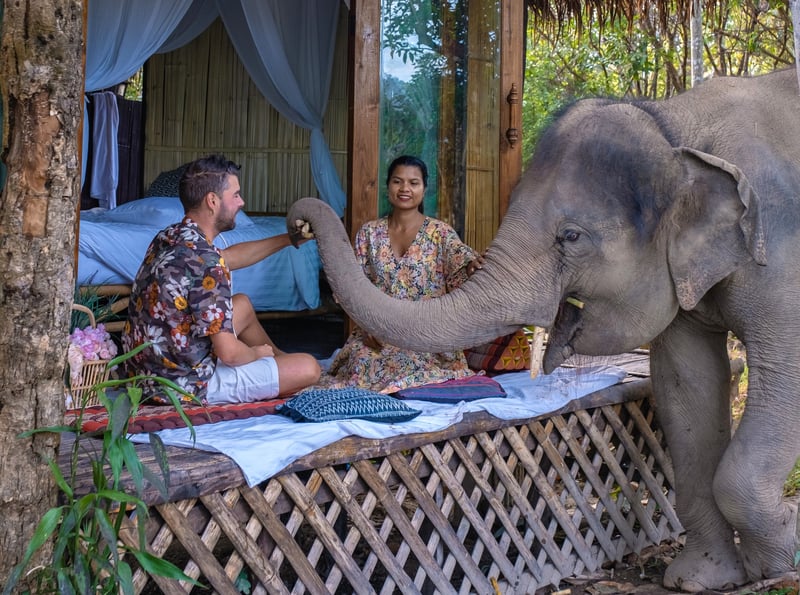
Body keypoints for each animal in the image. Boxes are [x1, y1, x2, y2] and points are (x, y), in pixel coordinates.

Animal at [287, 66, 800, 592]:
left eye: (570, 236)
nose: (298, 225)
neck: (677, 126)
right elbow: (686, 385)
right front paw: (699, 578)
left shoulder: (781, 252)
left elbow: (783, 373)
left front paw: (781, 552)